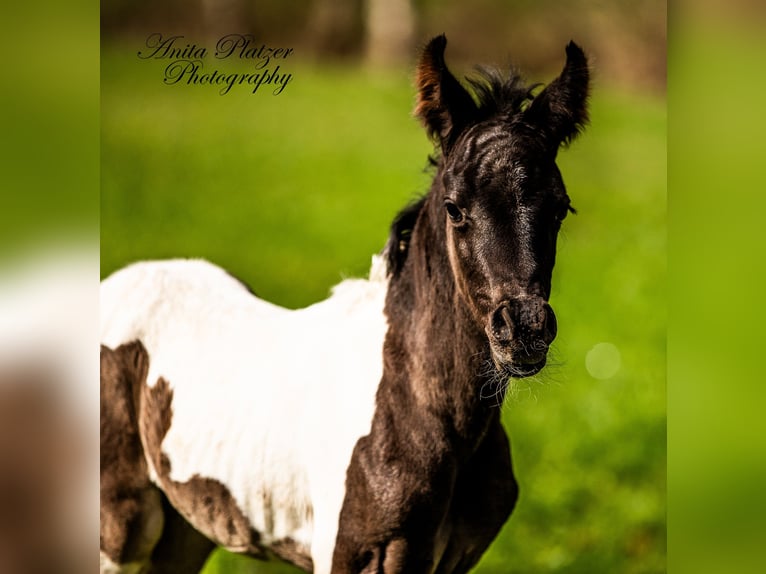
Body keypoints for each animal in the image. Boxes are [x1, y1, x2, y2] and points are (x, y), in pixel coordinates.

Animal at [100, 34, 589, 574]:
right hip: (120, 527)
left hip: (185, 528)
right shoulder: (351, 556)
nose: (523, 330)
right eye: (454, 208)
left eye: (561, 208)